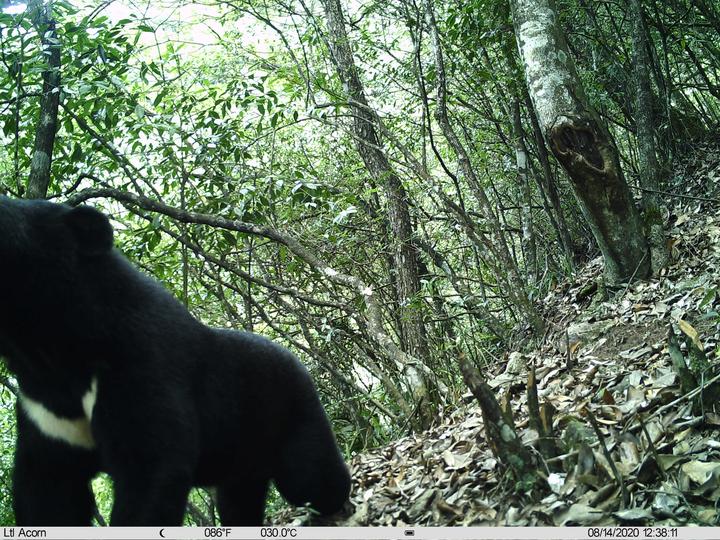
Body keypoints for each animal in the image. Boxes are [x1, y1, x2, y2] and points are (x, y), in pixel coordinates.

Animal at [0, 196, 352, 524]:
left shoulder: (143, 366)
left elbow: (151, 468)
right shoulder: (46, 410)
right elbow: (48, 485)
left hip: (291, 414)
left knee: (313, 478)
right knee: (238, 498)